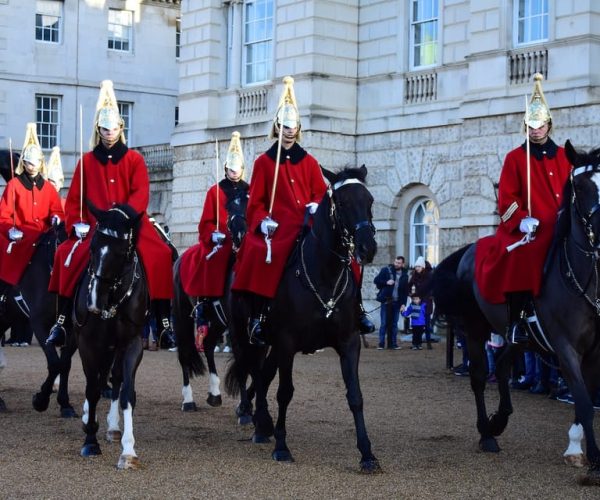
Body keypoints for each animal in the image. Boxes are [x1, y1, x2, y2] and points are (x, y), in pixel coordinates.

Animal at [0, 150, 77, 416]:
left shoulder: (70, 329)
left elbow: (64, 363)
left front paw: (65, 403)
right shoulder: (39, 323)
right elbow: (54, 363)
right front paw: (41, 399)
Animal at [73, 203, 148, 468]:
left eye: (120, 252)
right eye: (92, 247)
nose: (94, 302)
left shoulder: (133, 344)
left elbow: (126, 393)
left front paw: (128, 451)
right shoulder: (87, 343)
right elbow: (92, 390)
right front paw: (90, 442)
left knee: (113, 378)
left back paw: (114, 427)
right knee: (94, 380)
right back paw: (89, 418)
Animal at [172, 194, 247, 410]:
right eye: (228, 208)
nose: (240, 234)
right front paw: (245, 407)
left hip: (217, 320)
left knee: (207, 345)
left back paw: (214, 393)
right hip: (181, 316)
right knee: (184, 353)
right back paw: (188, 400)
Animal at [225, 167, 380, 472]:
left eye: (369, 200)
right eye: (341, 202)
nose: (367, 248)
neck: (325, 274)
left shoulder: (349, 342)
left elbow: (355, 396)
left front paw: (367, 453)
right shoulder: (287, 342)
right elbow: (285, 392)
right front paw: (282, 447)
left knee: (263, 374)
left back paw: (263, 424)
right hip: (247, 337)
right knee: (256, 372)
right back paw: (258, 421)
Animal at [434, 140, 600, 484]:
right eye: (579, 186)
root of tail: (471, 248)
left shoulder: (594, 351)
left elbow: (587, 399)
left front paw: (575, 447)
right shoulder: (566, 348)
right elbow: (582, 400)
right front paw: (593, 457)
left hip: (515, 335)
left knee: (501, 364)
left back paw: (499, 419)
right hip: (475, 329)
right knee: (479, 376)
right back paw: (487, 434)